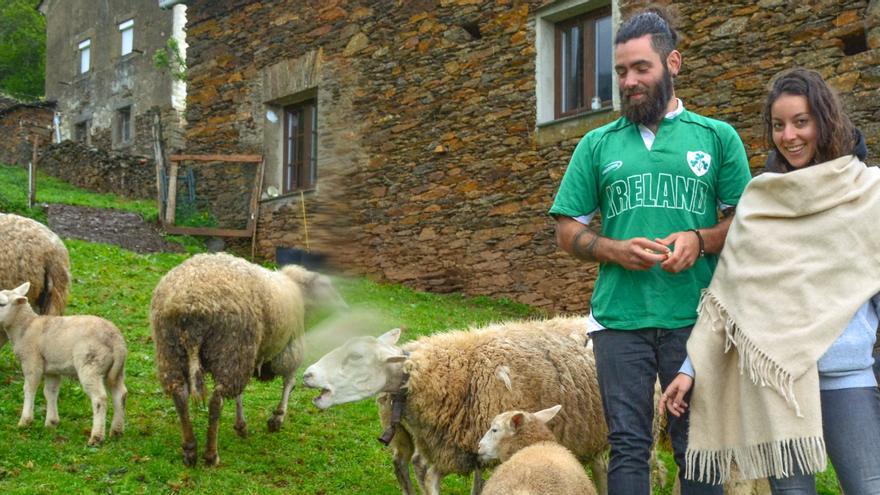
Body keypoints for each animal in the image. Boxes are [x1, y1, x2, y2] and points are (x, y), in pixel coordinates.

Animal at [0, 280, 128, 448]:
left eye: (2, 304)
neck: (25, 327)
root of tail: (116, 340)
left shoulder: (32, 362)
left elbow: (29, 389)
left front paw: (25, 421)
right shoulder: (52, 370)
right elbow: (50, 392)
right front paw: (51, 423)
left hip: (91, 365)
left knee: (99, 399)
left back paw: (96, 437)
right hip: (116, 370)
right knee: (120, 394)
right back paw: (117, 431)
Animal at [150, 254, 346, 466]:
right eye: (325, 285)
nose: (344, 307)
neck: (297, 290)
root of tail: (190, 305)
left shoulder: (250, 353)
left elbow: (240, 394)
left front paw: (241, 425)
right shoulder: (289, 348)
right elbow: (289, 382)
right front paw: (277, 418)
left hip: (172, 351)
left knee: (180, 395)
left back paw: (189, 448)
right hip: (231, 346)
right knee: (216, 402)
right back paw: (211, 455)